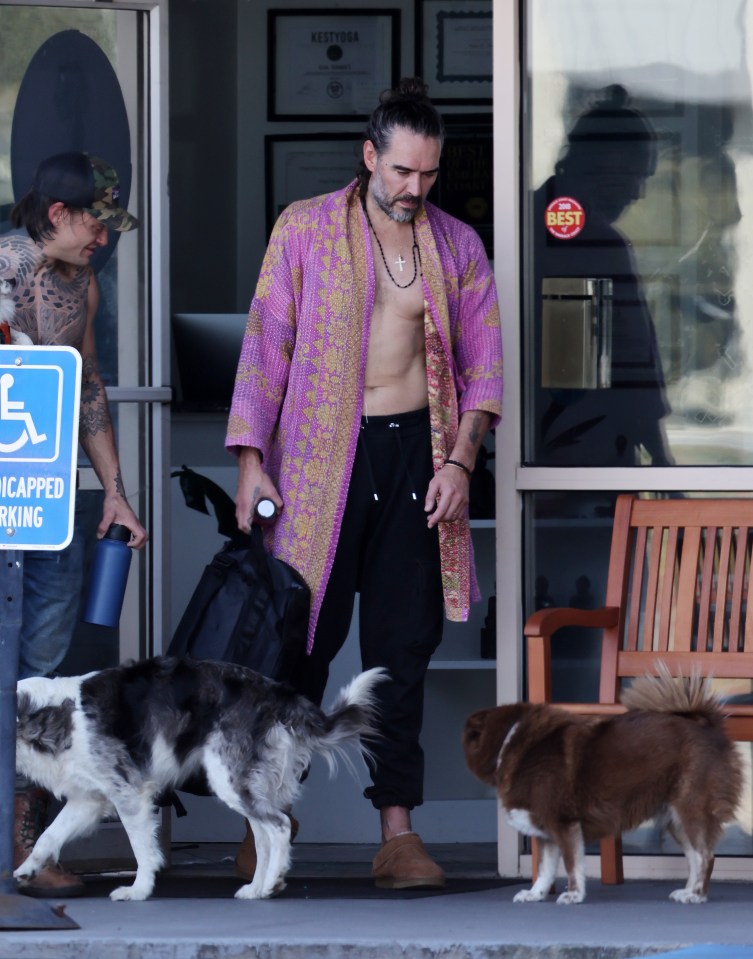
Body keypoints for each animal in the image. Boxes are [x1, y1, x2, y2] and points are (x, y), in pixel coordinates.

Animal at [18, 652, 384, 900]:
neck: (56, 714)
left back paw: (270, 883)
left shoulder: (129, 792)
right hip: (243, 783)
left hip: (230, 779)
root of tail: (276, 692)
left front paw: (139, 890)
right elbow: (48, 836)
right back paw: (256, 887)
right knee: (264, 836)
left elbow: (142, 848)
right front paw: (27, 870)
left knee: (279, 826)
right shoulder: (88, 800)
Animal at [464, 672, 740, 904]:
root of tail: (704, 725)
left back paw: (697, 895)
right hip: (675, 818)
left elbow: (572, 865)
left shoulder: (564, 824)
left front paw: (574, 895)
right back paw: (687, 891)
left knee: (705, 856)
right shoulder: (546, 833)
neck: (509, 743)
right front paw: (535, 894)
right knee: (694, 856)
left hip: (690, 808)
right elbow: (544, 869)